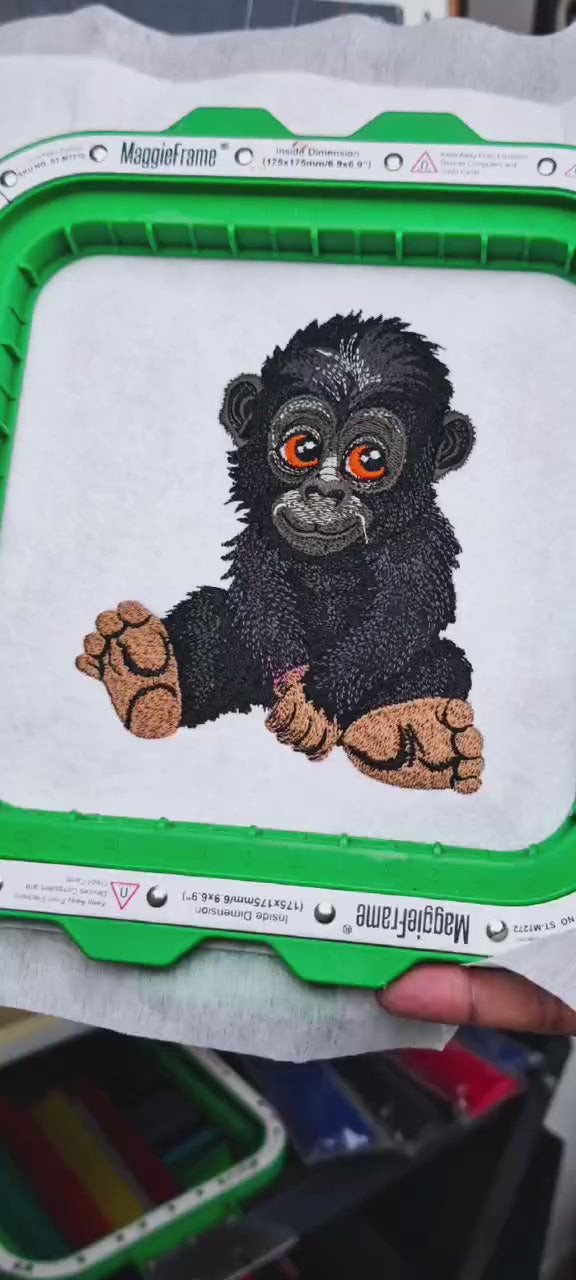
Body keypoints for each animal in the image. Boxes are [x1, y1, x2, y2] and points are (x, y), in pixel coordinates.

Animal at [77, 313, 484, 794]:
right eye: (303, 448)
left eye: (369, 460)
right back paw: (142, 675)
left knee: (443, 664)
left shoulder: (420, 539)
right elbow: (259, 583)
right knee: (209, 614)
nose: (324, 489)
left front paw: (315, 703)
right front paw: (293, 683)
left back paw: (418, 743)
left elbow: (408, 609)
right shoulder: (263, 529)